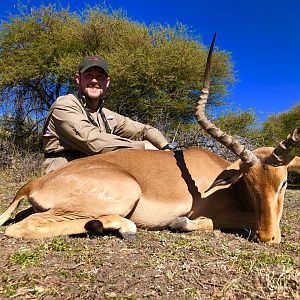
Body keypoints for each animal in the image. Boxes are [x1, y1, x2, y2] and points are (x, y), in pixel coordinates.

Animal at [0, 35, 298, 243]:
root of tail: (33, 184)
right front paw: (180, 224)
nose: (268, 237)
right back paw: (125, 227)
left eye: (283, 183)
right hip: (123, 193)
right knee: (21, 227)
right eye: (249, 182)